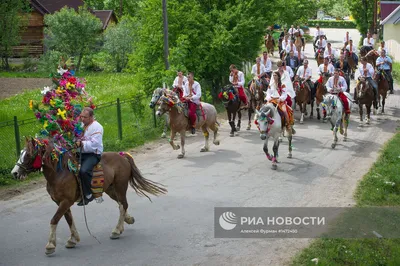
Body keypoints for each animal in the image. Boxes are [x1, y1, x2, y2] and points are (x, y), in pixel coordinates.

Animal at [10, 138, 166, 255]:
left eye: (28, 155)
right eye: (21, 153)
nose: (15, 173)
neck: (59, 173)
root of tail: (121, 156)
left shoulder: (65, 202)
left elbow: (54, 220)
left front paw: (50, 245)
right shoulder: (60, 203)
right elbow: (68, 219)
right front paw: (73, 239)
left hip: (120, 186)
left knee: (123, 204)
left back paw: (116, 230)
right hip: (110, 189)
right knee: (121, 204)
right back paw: (126, 221)